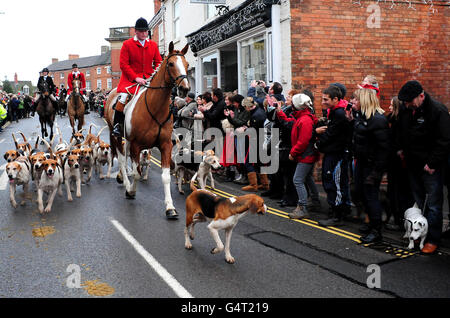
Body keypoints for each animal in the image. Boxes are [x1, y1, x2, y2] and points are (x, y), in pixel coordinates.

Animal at [104, 41, 189, 219]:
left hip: (128, 140)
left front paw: (170, 208)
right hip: (116, 135)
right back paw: (125, 181)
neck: (156, 108)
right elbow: (136, 172)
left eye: (187, 65)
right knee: (122, 159)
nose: (185, 89)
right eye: (171, 64)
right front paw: (131, 191)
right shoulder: (137, 145)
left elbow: (165, 177)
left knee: (125, 156)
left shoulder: (165, 145)